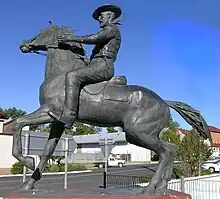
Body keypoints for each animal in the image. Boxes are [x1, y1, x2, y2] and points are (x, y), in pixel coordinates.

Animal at [12, 22, 211, 194]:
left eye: (41, 33)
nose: (23, 44)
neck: (60, 76)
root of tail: (164, 102)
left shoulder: (48, 112)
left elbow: (18, 123)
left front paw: (27, 161)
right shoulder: (57, 122)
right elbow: (47, 151)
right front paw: (28, 184)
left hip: (140, 132)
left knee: (165, 152)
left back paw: (149, 188)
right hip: (137, 135)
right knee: (171, 148)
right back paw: (161, 187)